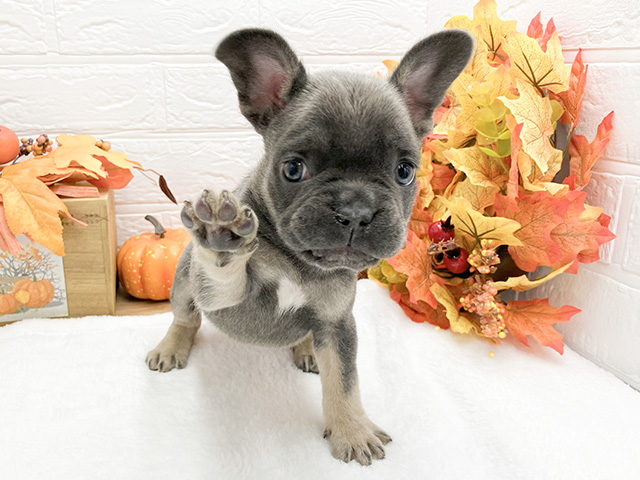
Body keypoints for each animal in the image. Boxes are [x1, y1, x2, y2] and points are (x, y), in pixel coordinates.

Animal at [146, 29, 476, 464]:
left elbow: (345, 381)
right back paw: (172, 346)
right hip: (185, 280)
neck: (297, 261)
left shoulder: (338, 325)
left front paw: (352, 431)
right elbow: (223, 276)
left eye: (404, 171)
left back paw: (305, 349)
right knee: (186, 318)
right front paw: (223, 235)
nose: (355, 211)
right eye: (293, 169)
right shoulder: (224, 298)